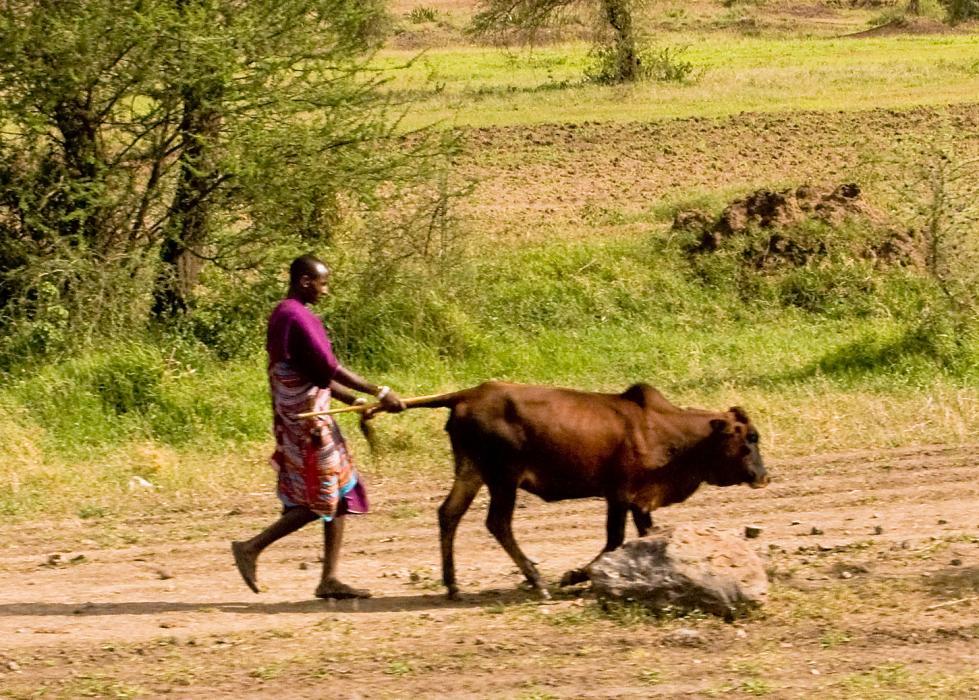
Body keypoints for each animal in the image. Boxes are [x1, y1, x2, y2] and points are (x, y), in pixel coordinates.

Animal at [368, 380, 764, 600]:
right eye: (747, 441)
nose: (763, 475)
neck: (670, 434)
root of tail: (469, 395)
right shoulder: (620, 494)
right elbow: (614, 540)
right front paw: (575, 575)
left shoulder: (640, 499)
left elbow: (643, 534)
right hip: (503, 477)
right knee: (498, 523)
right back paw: (536, 580)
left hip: (471, 470)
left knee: (448, 514)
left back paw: (452, 586)